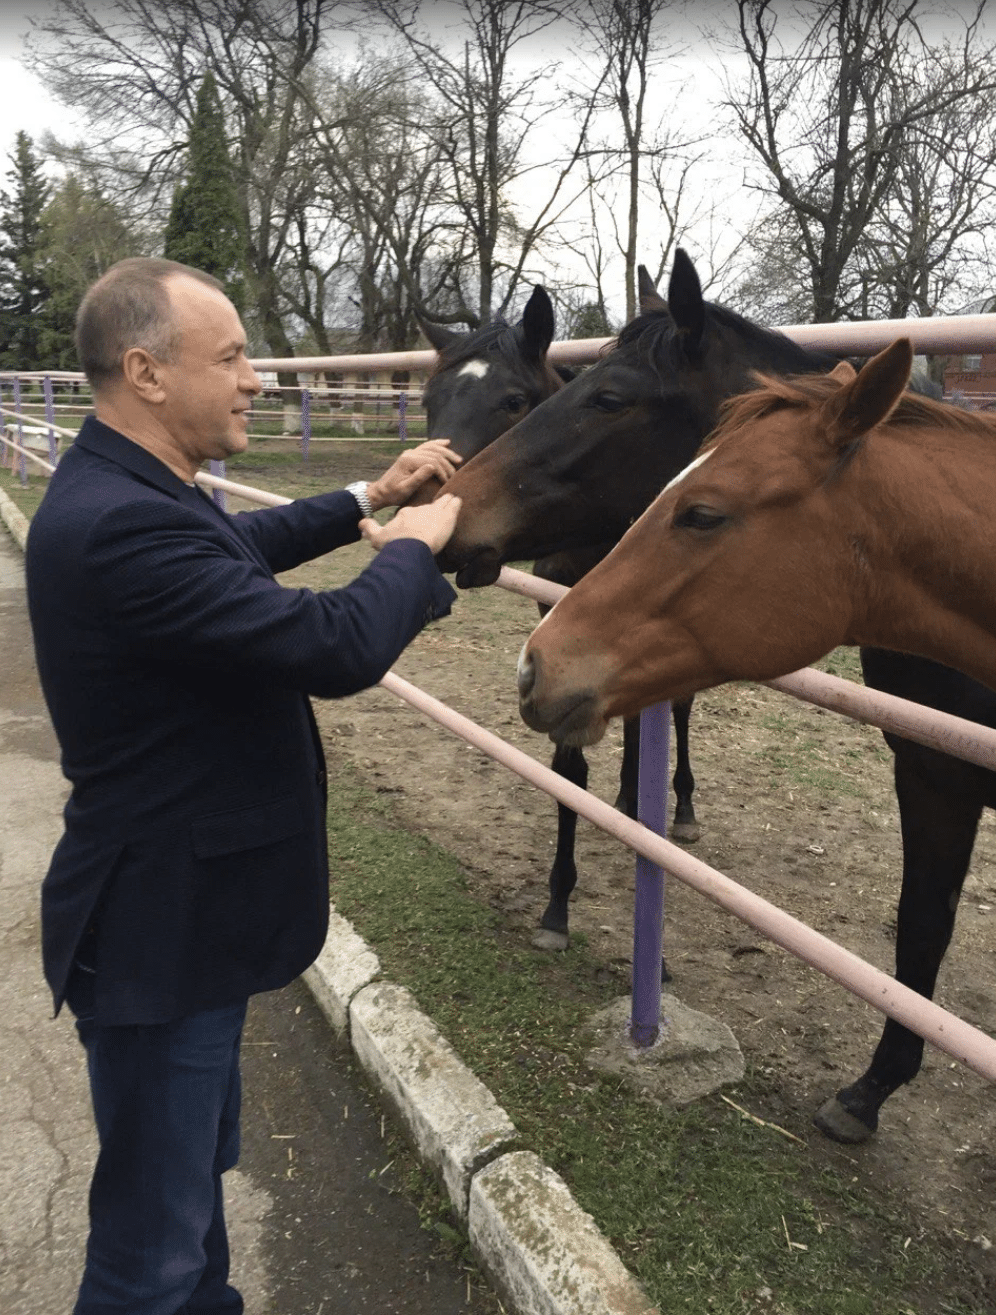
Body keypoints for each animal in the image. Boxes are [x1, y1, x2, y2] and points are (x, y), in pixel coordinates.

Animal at [413, 285, 699, 957]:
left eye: (514, 401)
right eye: (428, 400)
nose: (434, 513)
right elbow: (569, 770)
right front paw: (557, 905)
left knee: (678, 710)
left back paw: (679, 807)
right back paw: (629, 795)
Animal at [442, 253, 994, 1141]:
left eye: (609, 396)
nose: (448, 509)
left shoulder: (939, 773)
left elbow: (922, 928)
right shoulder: (930, 768)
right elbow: (921, 926)